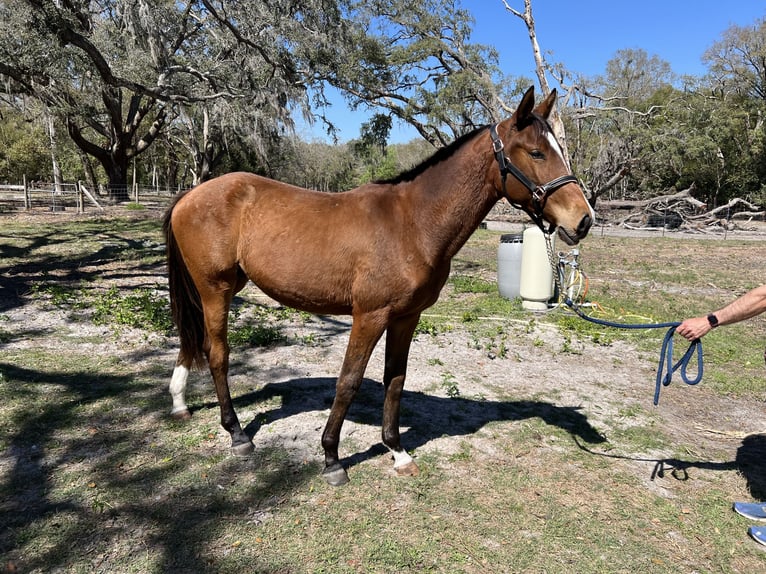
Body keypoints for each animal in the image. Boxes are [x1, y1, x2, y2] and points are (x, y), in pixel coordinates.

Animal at [160, 86, 592, 486]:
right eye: (536, 153)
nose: (583, 220)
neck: (413, 223)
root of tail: (191, 194)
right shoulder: (369, 316)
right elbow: (349, 381)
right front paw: (332, 458)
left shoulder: (406, 317)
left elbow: (394, 380)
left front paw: (397, 451)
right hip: (215, 289)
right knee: (217, 354)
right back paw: (236, 433)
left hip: (221, 287)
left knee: (195, 341)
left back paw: (180, 402)